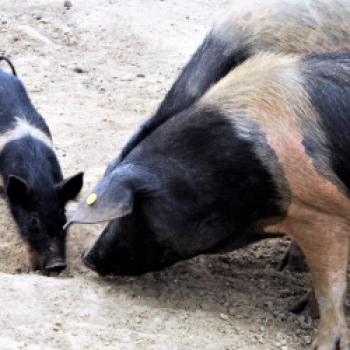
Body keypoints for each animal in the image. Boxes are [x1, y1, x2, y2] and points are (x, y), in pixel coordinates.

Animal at [67, 52, 350, 350]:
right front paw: (296, 308)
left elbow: (329, 284)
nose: (88, 257)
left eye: (133, 211)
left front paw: (322, 343)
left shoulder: (319, 213)